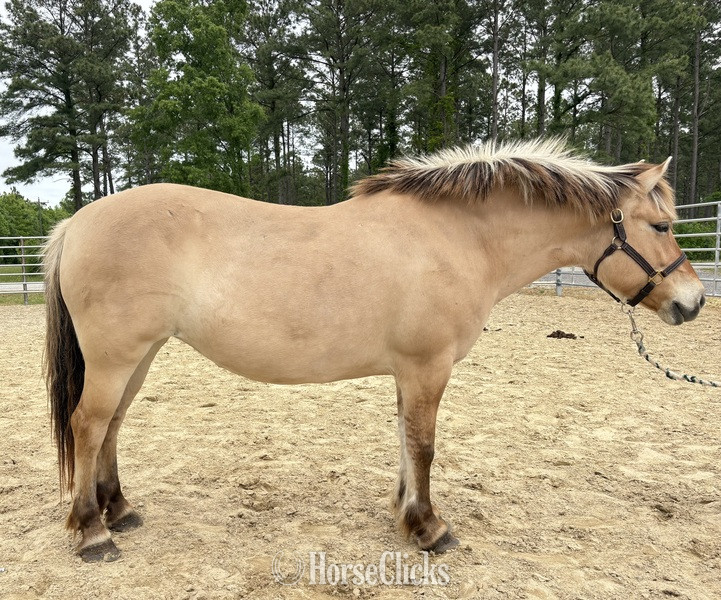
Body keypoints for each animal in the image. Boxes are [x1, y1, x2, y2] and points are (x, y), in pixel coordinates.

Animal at [43, 139, 706, 562]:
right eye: (662, 226)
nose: (694, 301)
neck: (457, 238)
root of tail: (76, 224)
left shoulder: (409, 372)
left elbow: (406, 442)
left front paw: (404, 512)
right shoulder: (427, 367)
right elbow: (424, 445)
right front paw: (430, 529)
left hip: (140, 355)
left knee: (110, 426)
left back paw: (118, 510)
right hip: (116, 357)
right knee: (88, 425)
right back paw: (93, 534)